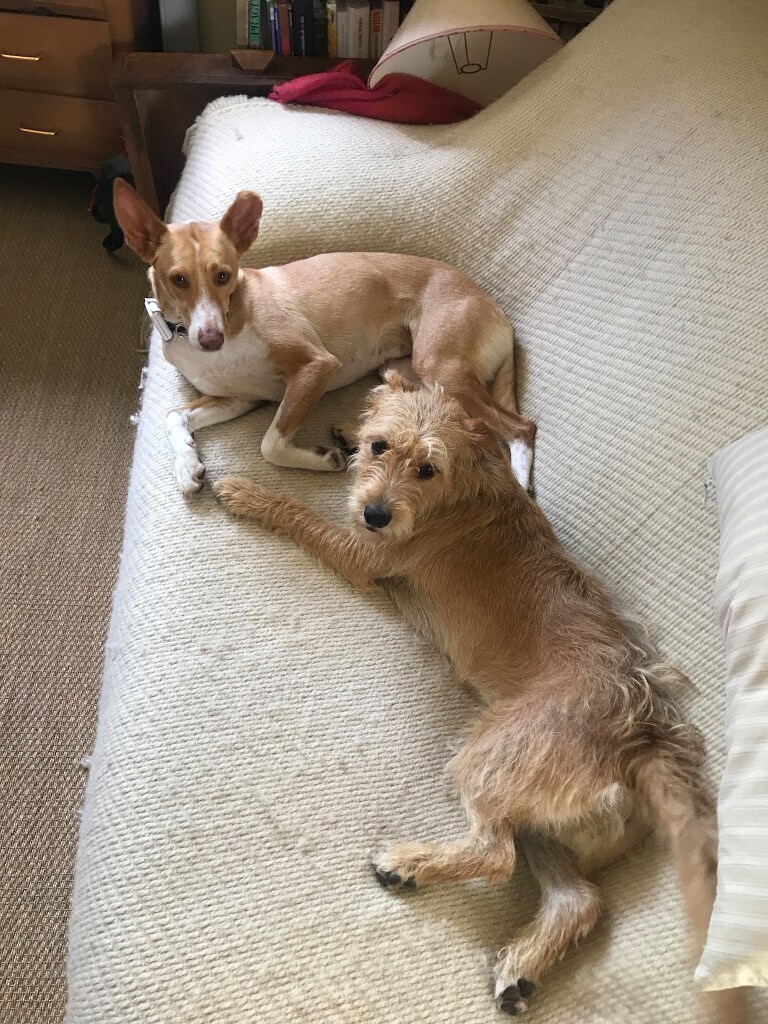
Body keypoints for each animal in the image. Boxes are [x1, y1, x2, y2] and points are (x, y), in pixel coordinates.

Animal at [114, 182, 536, 497]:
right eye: (178, 279)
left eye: (223, 276)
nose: (211, 339)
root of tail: (495, 309)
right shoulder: (238, 398)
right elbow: (174, 415)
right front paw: (186, 466)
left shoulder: (315, 365)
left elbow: (270, 442)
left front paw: (322, 458)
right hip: (408, 372)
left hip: (439, 366)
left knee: (519, 428)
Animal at [214, 378, 749, 1024]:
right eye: (380, 445)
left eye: (427, 468)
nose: (375, 514)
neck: (461, 490)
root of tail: (643, 731)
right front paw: (340, 434)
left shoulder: (364, 556)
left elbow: (300, 515)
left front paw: (246, 493)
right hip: (547, 820)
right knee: (578, 898)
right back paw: (520, 965)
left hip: (487, 754)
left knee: (496, 857)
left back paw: (408, 864)